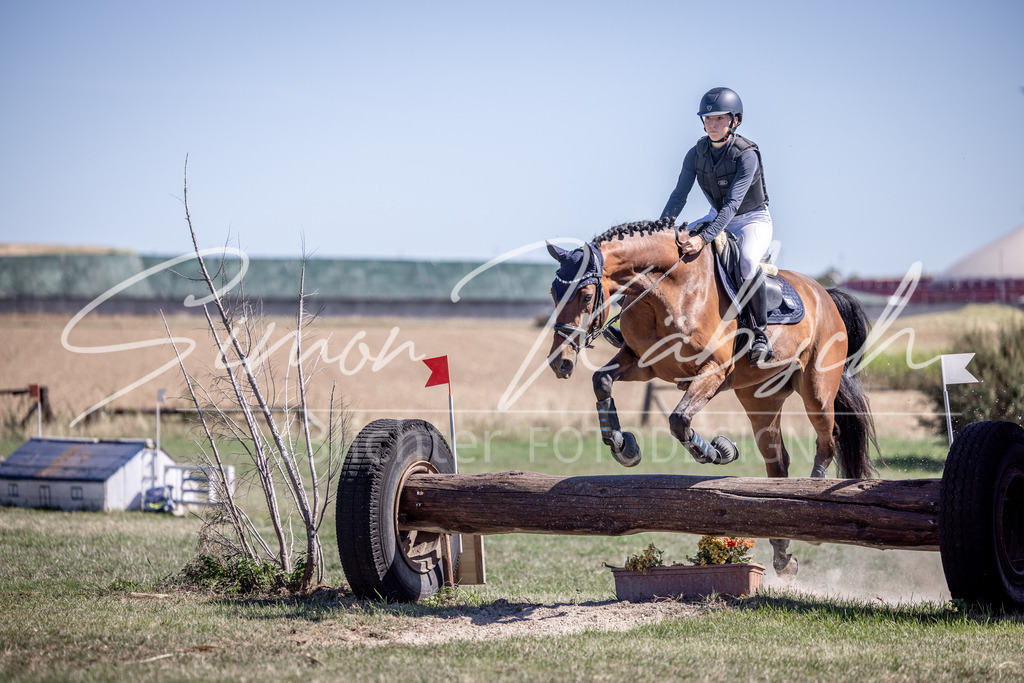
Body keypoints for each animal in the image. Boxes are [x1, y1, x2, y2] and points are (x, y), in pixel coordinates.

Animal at [546, 220, 877, 575]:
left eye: (585, 295)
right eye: (554, 293)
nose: (560, 362)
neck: (667, 292)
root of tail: (824, 293)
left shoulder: (713, 372)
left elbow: (679, 420)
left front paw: (719, 451)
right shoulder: (642, 363)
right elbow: (602, 380)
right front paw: (624, 446)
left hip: (816, 388)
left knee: (829, 437)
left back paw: (813, 496)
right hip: (761, 398)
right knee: (777, 461)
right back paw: (782, 554)